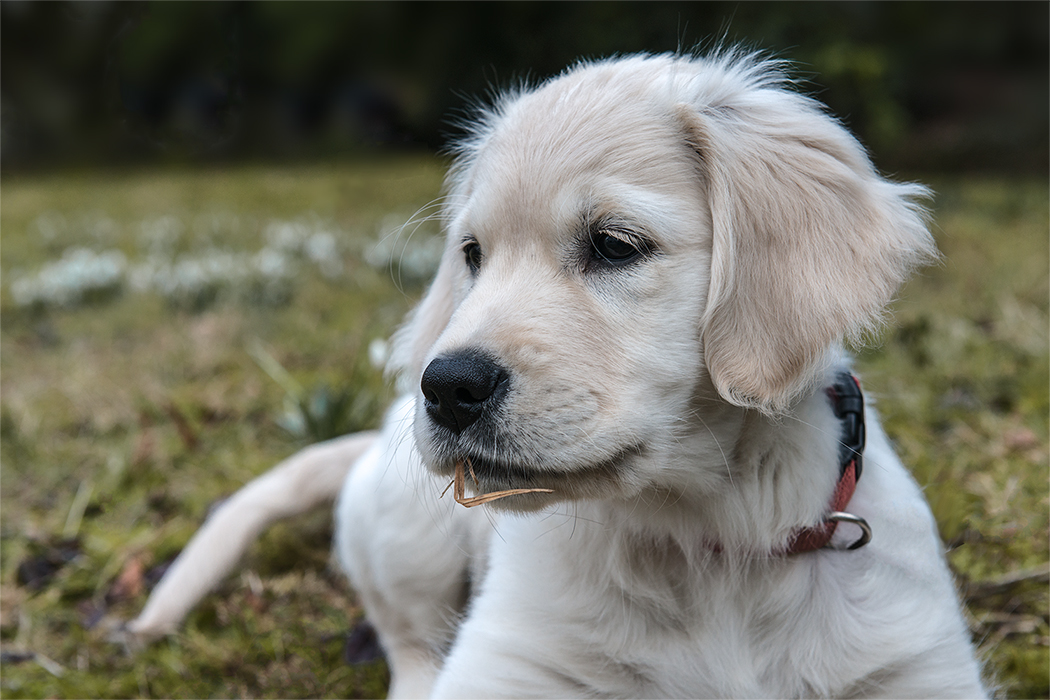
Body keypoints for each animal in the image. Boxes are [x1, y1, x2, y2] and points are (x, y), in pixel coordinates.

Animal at [127, 51, 986, 696]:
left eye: (613, 244)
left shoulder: (916, 664)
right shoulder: (505, 662)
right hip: (404, 530)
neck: (701, 539)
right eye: (473, 256)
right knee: (408, 641)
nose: (444, 389)